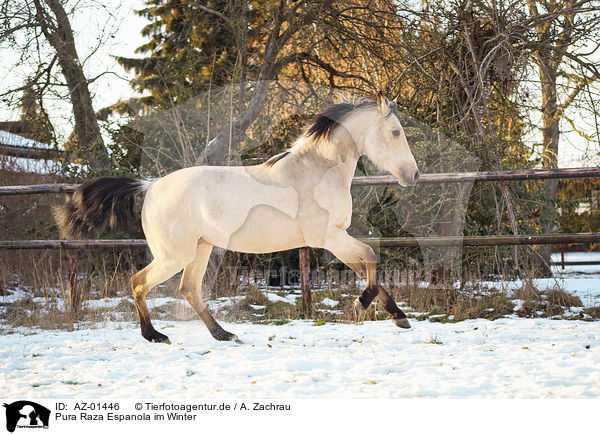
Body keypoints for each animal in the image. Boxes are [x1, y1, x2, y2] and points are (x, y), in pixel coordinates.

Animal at [55, 92, 418, 344]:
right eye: (396, 132)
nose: (412, 175)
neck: (317, 171)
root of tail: (150, 185)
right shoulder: (328, 237)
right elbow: (371, 257)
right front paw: (361, 306)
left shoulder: (335, 238)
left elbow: (367, 267)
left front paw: (398, 316)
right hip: (175, 254)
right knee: (139, 283)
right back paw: (155, 336)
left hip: (200, 249)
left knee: (189, 290)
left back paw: (224, 334)